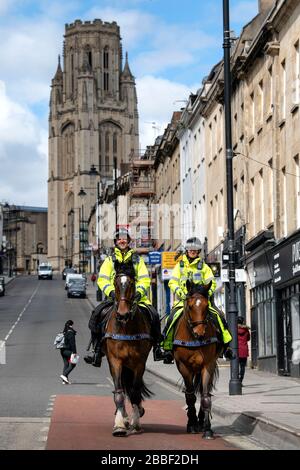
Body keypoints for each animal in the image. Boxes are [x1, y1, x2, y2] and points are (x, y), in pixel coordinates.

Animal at [103, 260, 155, 436]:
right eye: (115, 283)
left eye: (132, 283)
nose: (123, 314)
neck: (126, 328)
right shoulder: (115, 361)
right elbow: (119, 393)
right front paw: (119, 424)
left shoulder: (139, 364)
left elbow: (134, 392)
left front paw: (136, 421)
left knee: (133, 391)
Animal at [172, 280, 219, 438]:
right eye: (191, 306)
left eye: (206, 305)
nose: (200, 333)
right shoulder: (184, 367)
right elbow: (191, 396)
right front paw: (191, 424)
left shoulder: (208, 365)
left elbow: (205, 396)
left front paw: (207, 428)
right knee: (190, 392)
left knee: (205, 390)